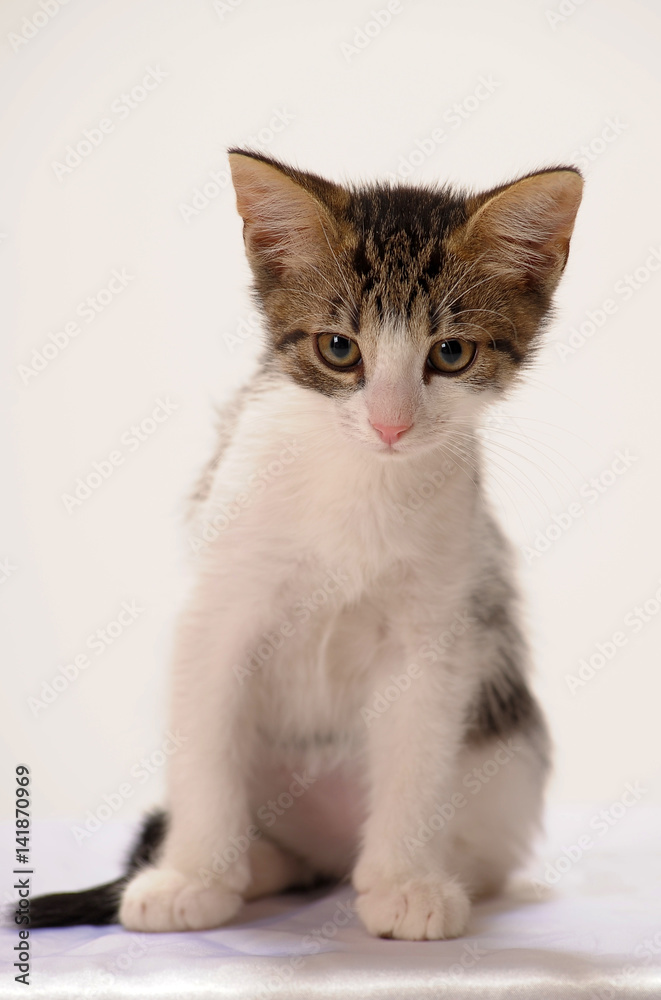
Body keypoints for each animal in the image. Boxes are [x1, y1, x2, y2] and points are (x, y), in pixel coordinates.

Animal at [28, 152, 580, 940]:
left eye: (450, 353)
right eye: (339, 348)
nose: (389, 423)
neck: (358, 478)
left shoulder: (440, 626)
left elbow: (418, 750)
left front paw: (406, 882)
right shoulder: (218, 605)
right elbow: (203, 739)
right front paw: (192, 876)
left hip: (506, 761)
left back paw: (441, 873)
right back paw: (249, 866)